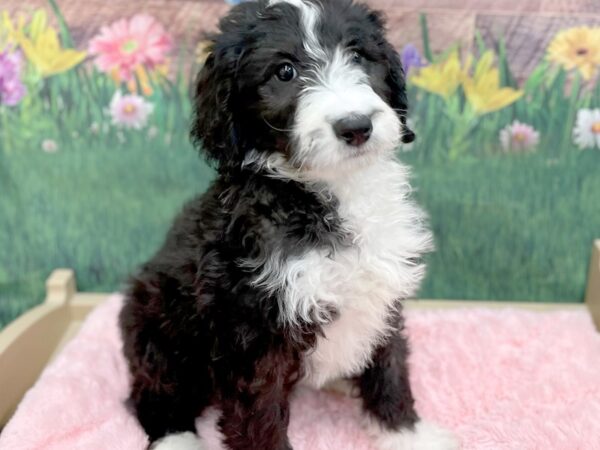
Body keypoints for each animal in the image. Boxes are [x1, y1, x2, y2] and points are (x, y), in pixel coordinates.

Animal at [120, 0, 460, 448]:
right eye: (284, 72)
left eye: (358, 56)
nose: (356, 126)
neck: (328, 190)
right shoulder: (253, 326)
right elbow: (259, 414)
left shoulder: (383, 295)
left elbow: (389, 368)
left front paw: (406, 435)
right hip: (157, 330)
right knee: (153, 393)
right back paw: (177, 439)